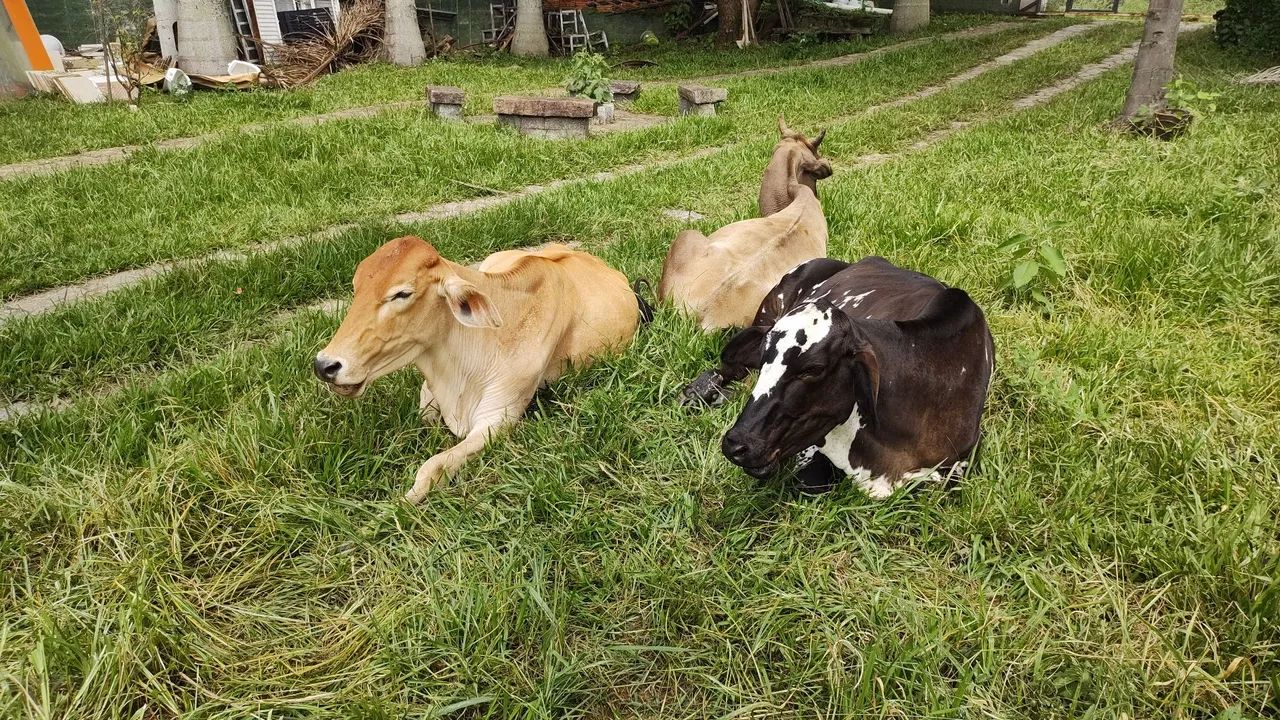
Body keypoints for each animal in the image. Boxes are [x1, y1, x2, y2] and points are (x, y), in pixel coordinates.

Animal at [314, 236, 646, 504]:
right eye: (356, 288)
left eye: (402, 294)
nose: (325, 365)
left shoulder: (497, 419)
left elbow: (432, 467)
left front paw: (394, 508)